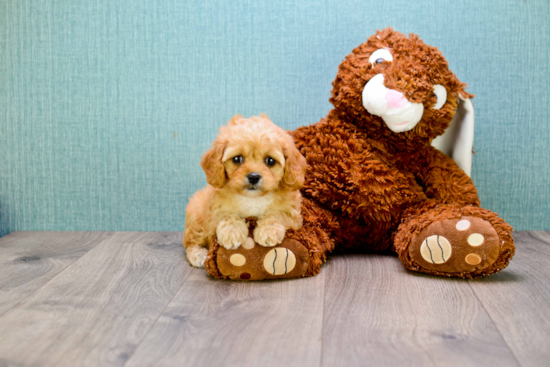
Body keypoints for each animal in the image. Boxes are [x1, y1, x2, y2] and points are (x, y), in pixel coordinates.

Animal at [183, 115, 308, 268]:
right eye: (237, 159)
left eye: (270, 161)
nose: (253, 177)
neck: (253, 198)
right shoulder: (215, 208)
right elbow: (226, 214)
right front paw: (231, 233)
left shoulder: (292, 211)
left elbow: (277, 213)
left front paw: (268, 231)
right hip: (196, 215)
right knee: (191, 241)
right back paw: (198, 255)